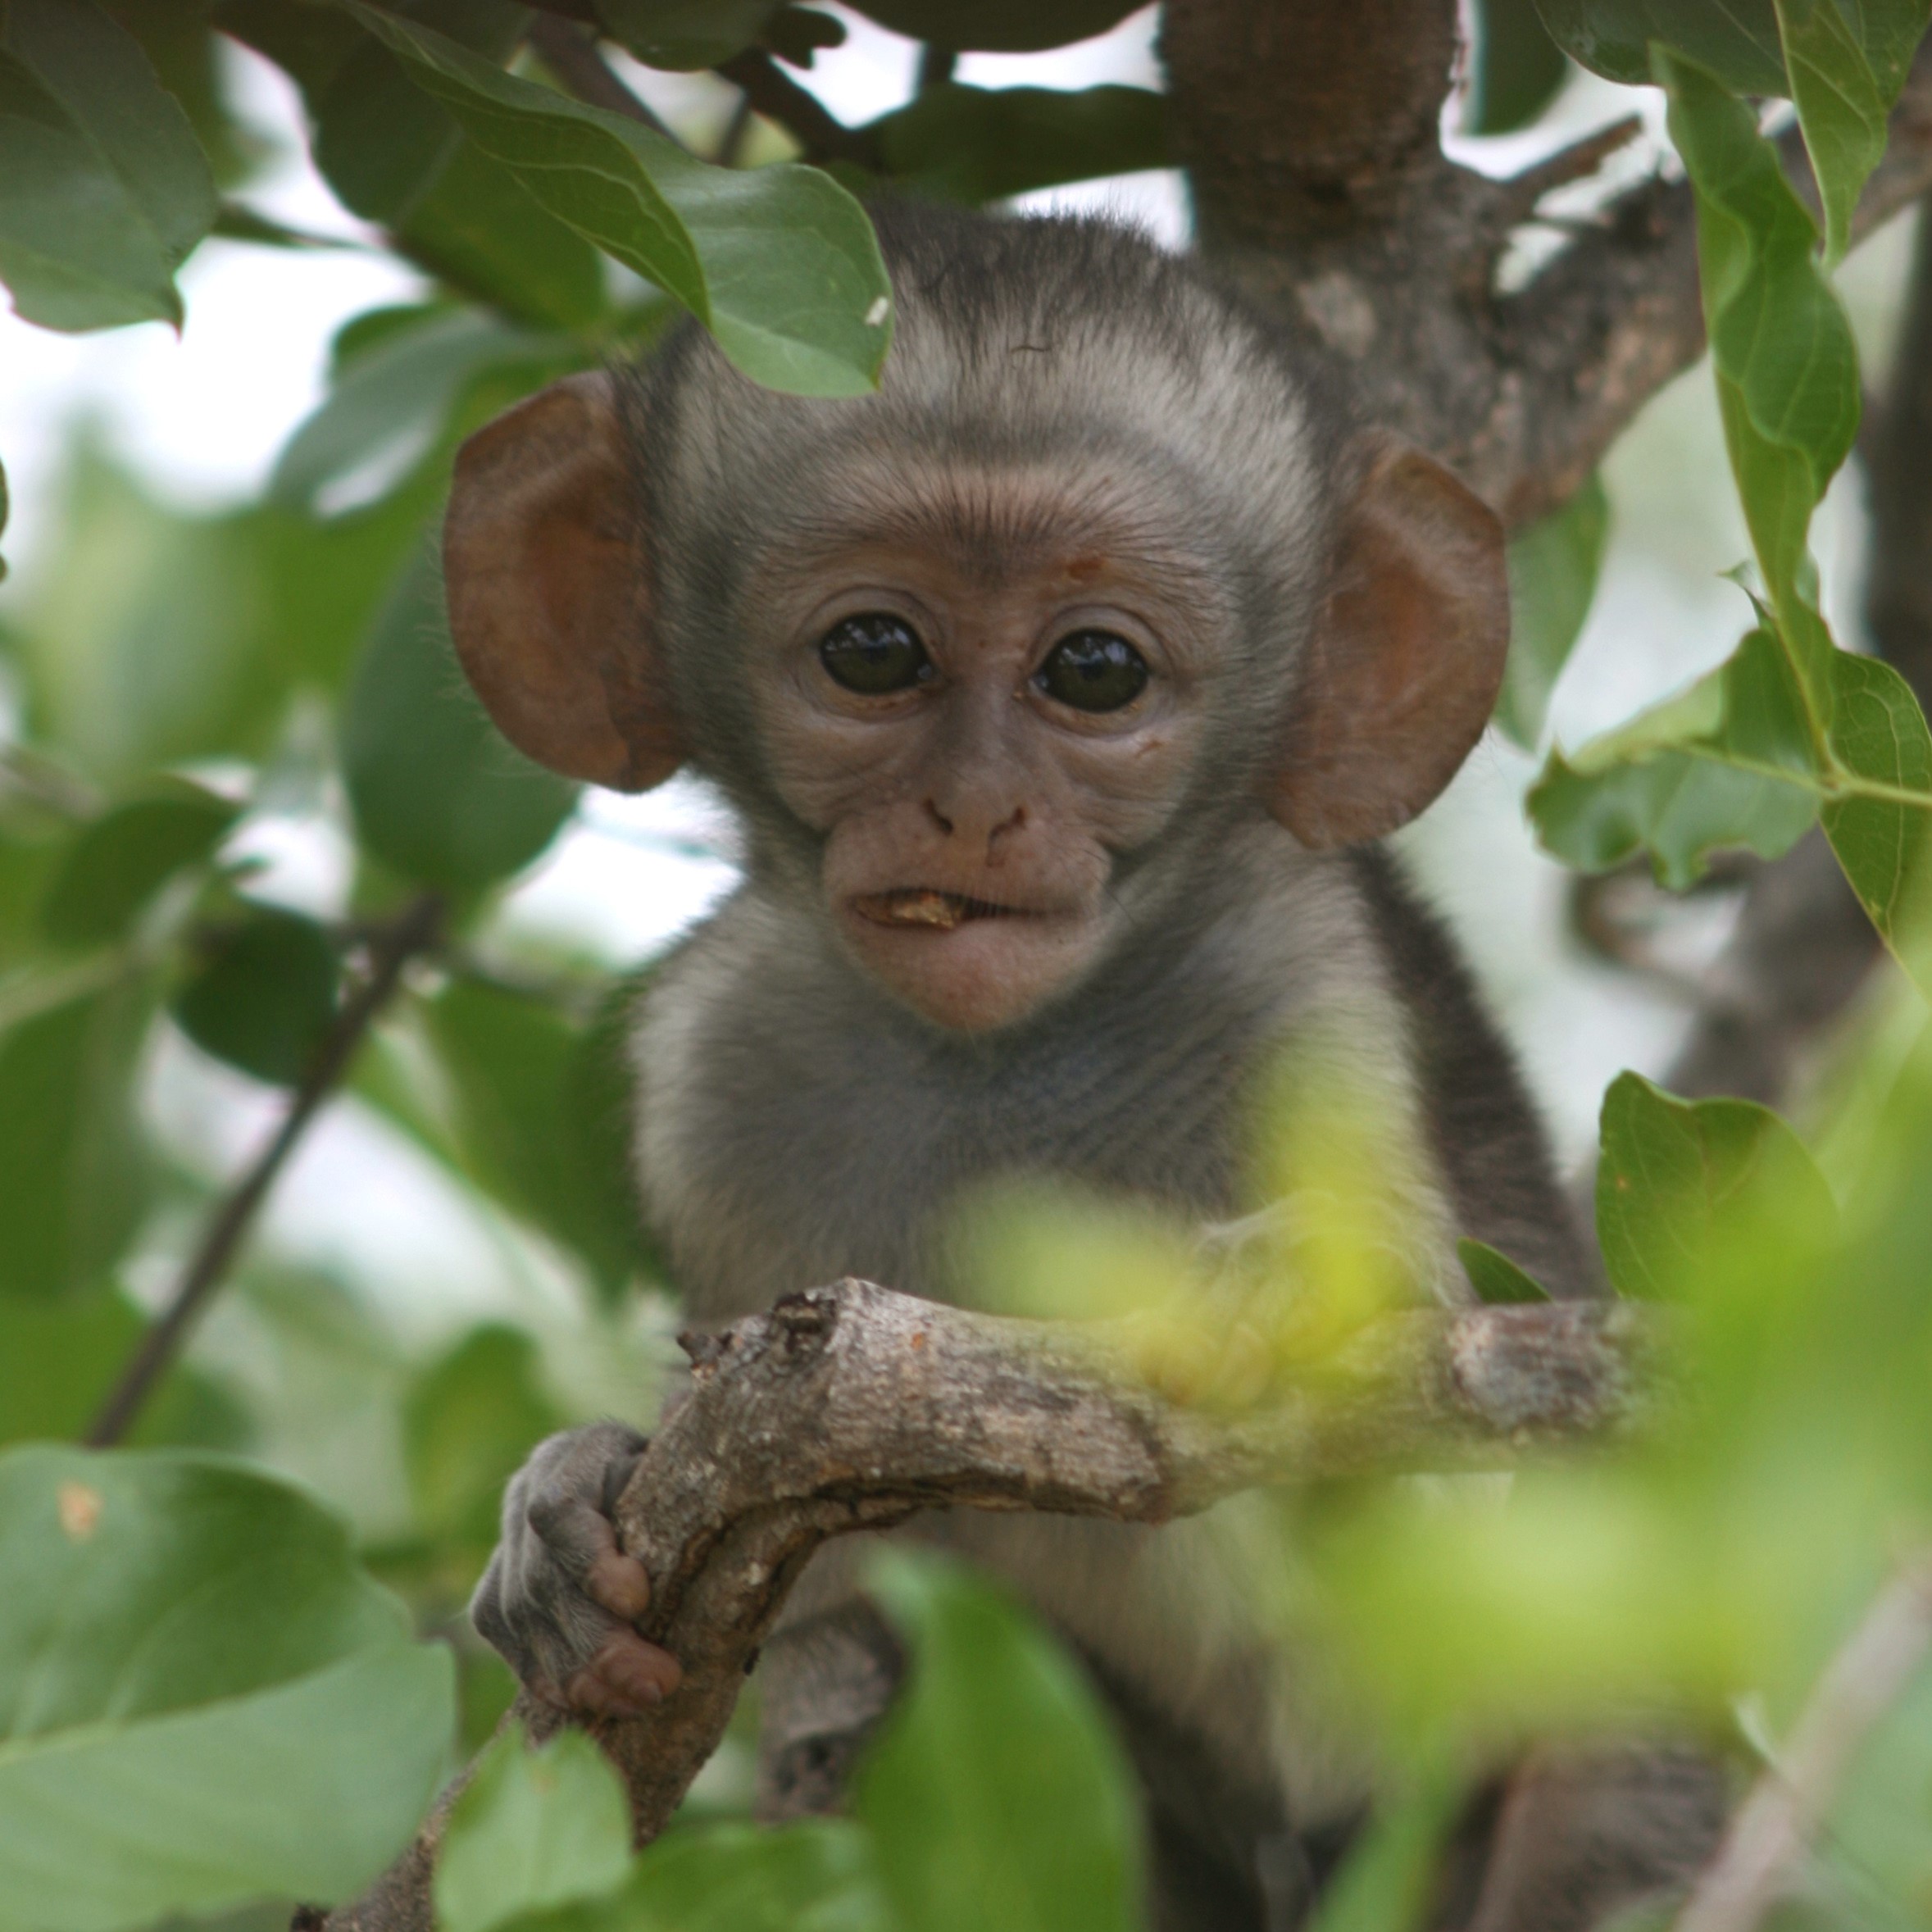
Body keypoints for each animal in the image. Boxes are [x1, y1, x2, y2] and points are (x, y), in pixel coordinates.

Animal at [446, 205, 1725, 1932]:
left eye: (1096, 671)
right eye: (873, 650)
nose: (975, 808)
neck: (1006, 1067)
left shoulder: (1308, 1000)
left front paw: (1314, 1314)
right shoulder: (714, 1078)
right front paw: (577, 1490)